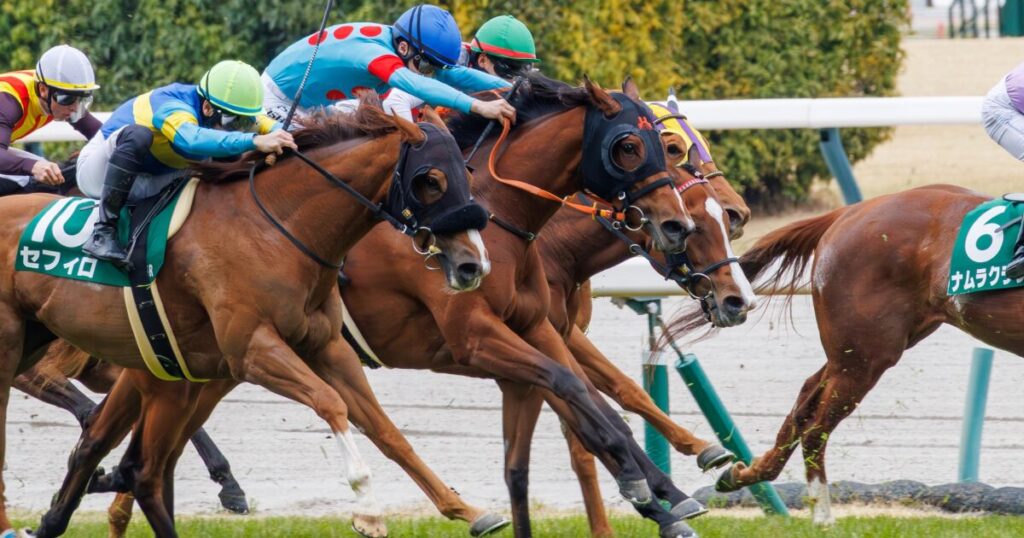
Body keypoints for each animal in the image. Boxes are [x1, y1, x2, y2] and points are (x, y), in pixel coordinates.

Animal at [3, 101, 491, 538]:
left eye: (467, 175)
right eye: (430, 180)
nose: (473, 265)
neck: (278, 229)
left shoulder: (326, 345)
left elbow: (385, 428)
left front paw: (467, 509)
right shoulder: (252, 350)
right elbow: (331, 404)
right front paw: (368, 511)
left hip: (148, 369)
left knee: (125, 458)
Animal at [678, 184, 1024, 525]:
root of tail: (846, 213)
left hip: (857, 350)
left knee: (806, 399)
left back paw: (747, 475)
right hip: (864, 355)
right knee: (816, 427)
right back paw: (822, 516)